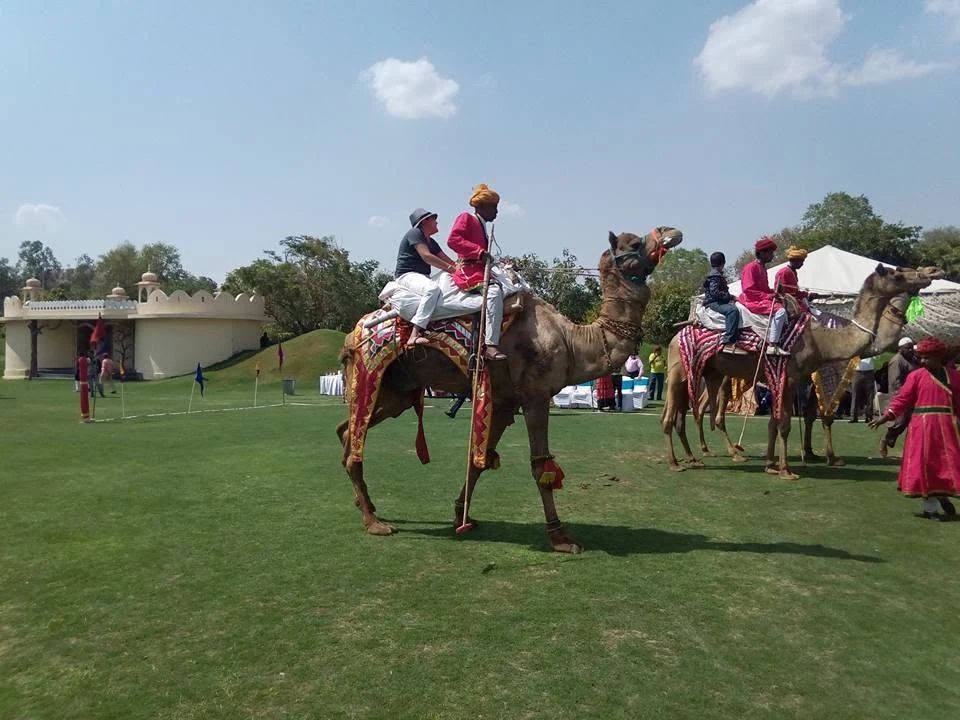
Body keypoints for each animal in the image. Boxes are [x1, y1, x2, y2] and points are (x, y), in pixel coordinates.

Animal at [336, 228, 682, 554]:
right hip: (370, 373)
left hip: (397, 391)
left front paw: (462, 516)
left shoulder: (504, 401)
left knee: (346, 431)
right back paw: (374, 522)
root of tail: (352, 335)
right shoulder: (535, 395)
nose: (672, 232)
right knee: (355, 440)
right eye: (634, 243)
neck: (573, 341)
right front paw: (561, 537)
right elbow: (539, 465)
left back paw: (365, 504)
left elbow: (480, 459)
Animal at [661, 265, 944, 479]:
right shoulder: (793, 377)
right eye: (898, 274)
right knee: (674, 416)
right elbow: (788, 423)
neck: (823, 340)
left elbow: (778, 422)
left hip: (707, 372)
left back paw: (695, 457)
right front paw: (788, 469)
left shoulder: (789, 379)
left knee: (684, 414)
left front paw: (773, 464)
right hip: (680, 371)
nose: (932, 270)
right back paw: (679, 462)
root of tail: (676, 336)